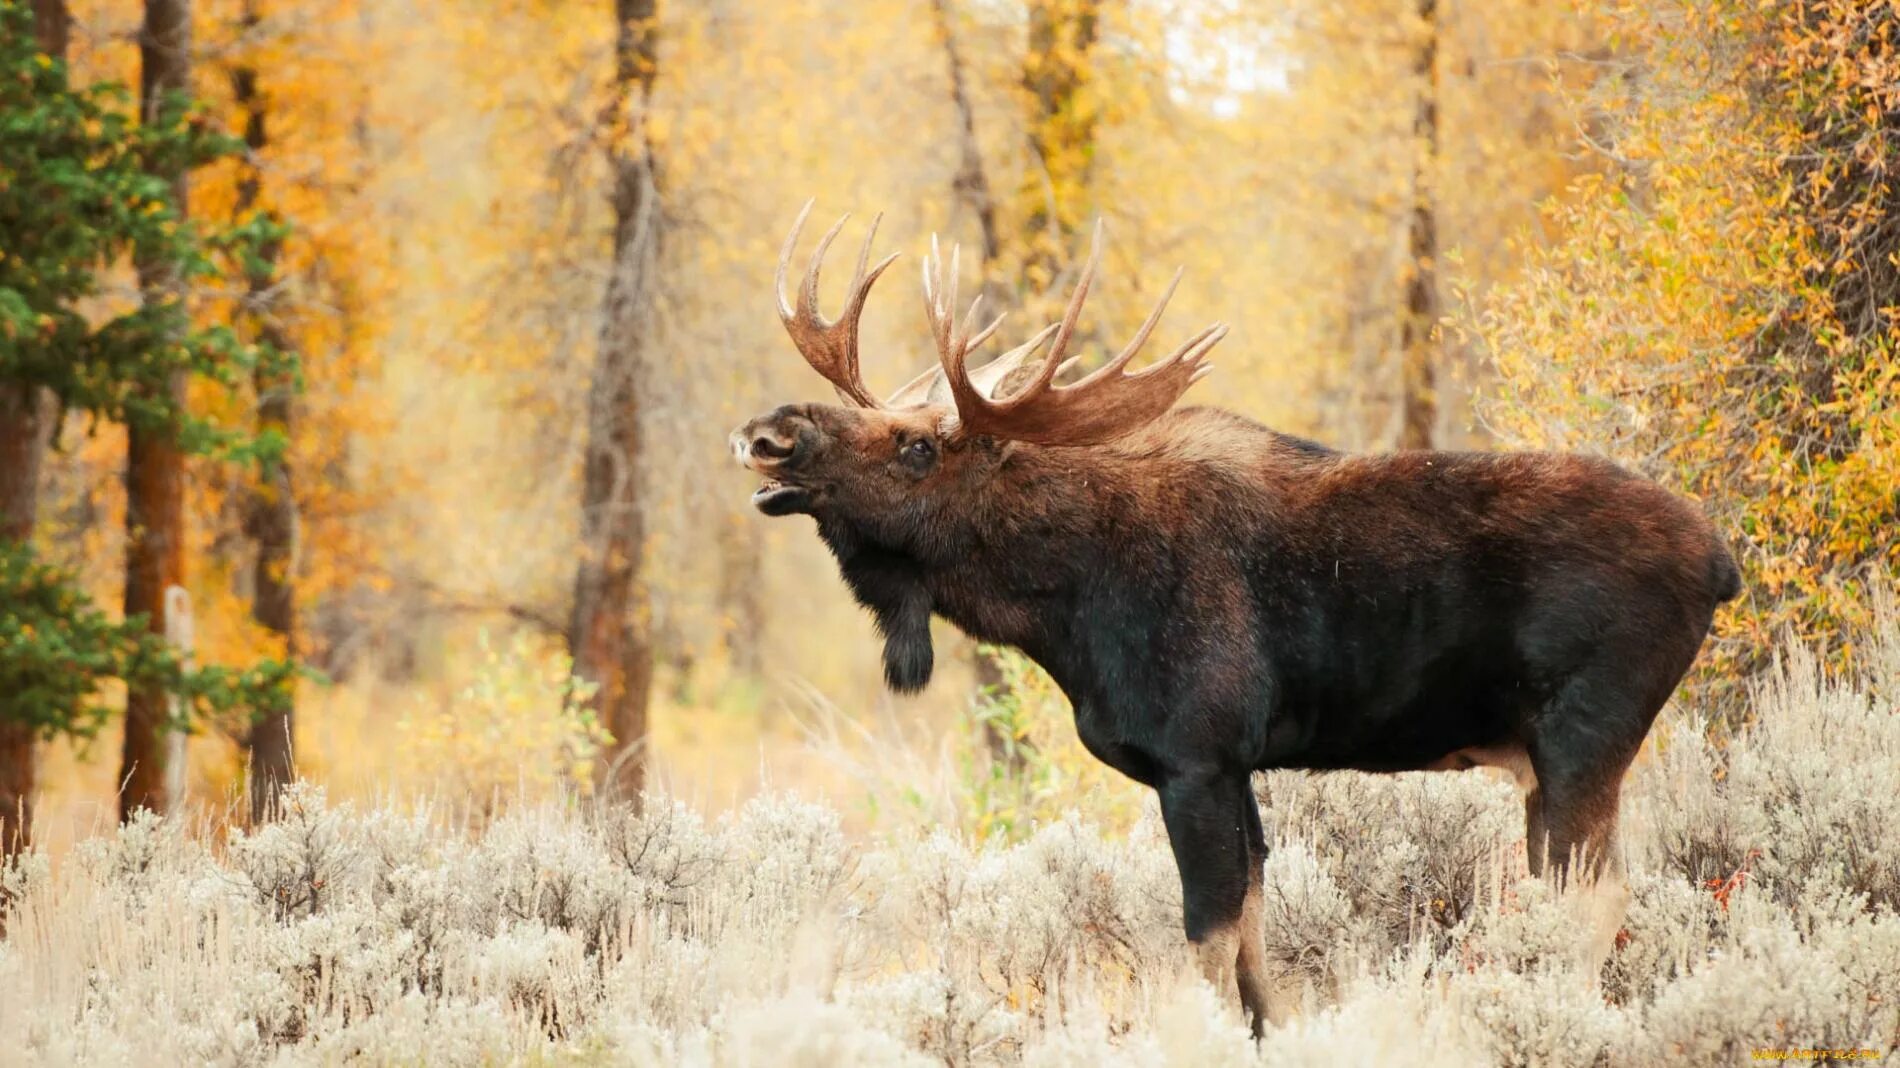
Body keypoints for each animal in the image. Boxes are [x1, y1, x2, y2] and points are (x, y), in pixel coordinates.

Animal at [725, 201, 1740, 1033]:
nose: (768, 433)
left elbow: (1207, 946)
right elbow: (1255, 950)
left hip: (1582, 739)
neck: (1064, 609)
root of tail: (1723, 564)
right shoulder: (1234, 767)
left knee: (1594, 904)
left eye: (917, 447)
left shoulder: (1198, 756)